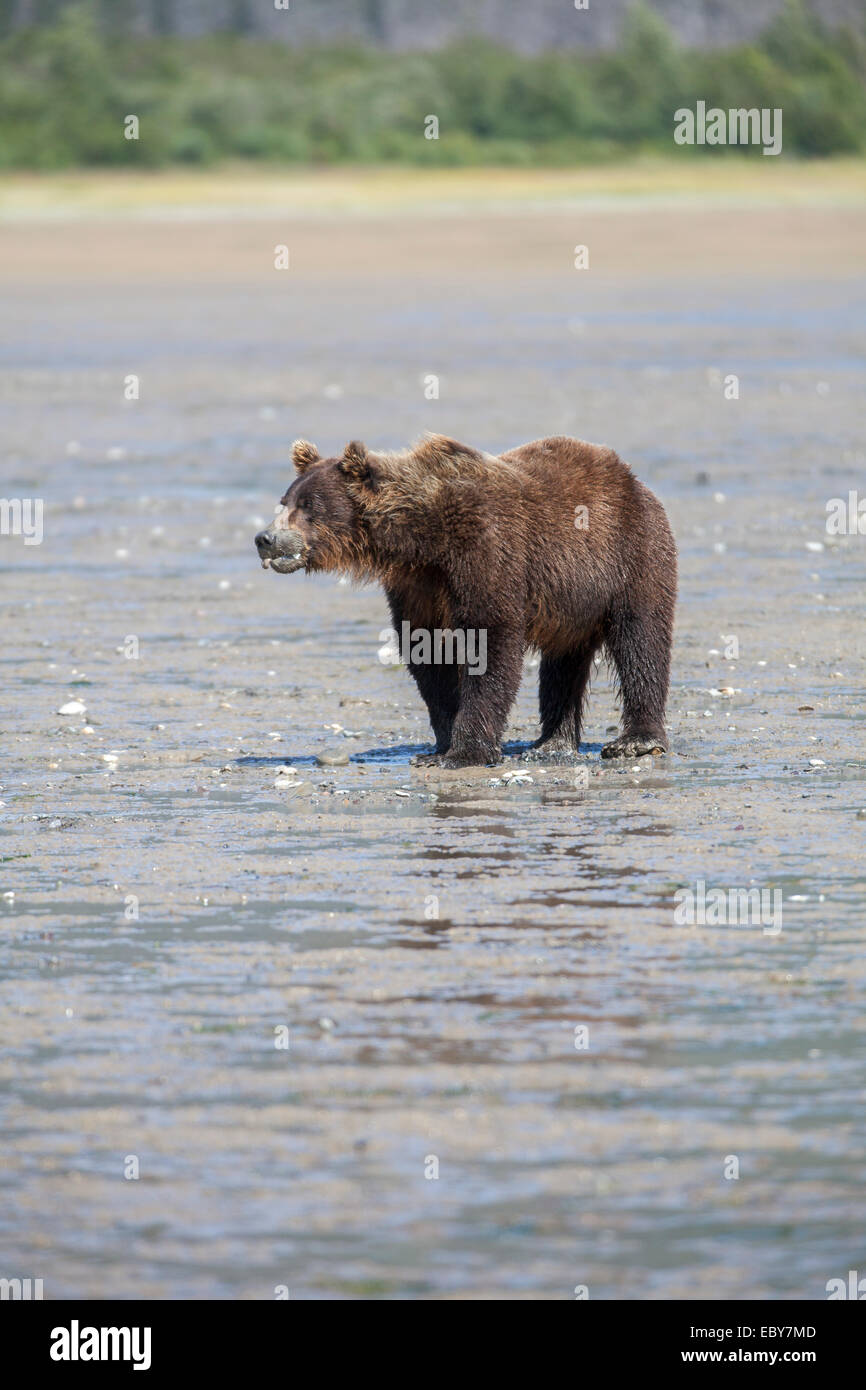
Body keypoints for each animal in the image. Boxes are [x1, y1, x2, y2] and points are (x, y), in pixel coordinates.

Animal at [255, 434, 677, 769]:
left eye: (309, 505)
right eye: (285, 500)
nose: (264, 538)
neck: (421, 539)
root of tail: (634, 480)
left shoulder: (484, 554)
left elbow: (488, 641)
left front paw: (464, 752)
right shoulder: (418, 586)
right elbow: (427, 653)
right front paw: (439, 746)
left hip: (631, 555)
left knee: (641, 640)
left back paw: (636, 741)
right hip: (572, 600)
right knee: (563, 662)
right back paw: (550, 744)